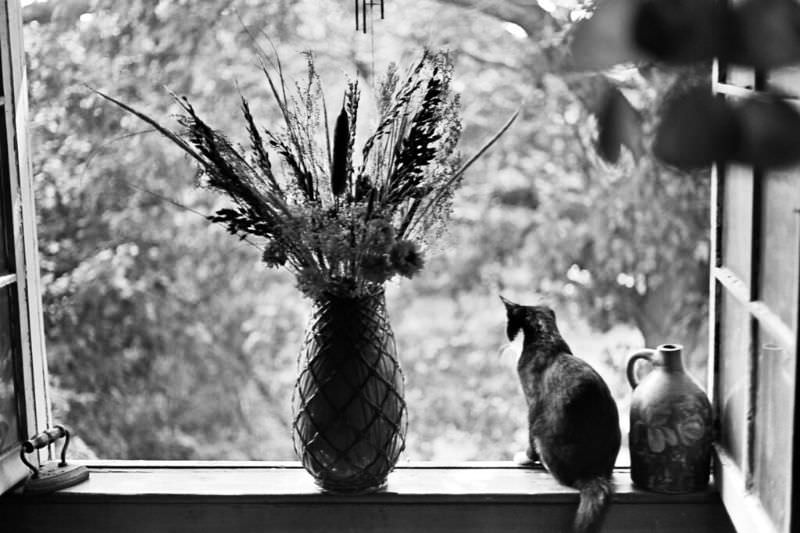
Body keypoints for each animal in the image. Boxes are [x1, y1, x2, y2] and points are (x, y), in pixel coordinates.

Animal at [500, 298, 624, 528]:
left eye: (510, 327)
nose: (508, 340)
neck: (547, 339)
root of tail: (592, 474)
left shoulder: (532, 403)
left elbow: (528, 434)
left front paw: (525, 458)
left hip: (544, 432)